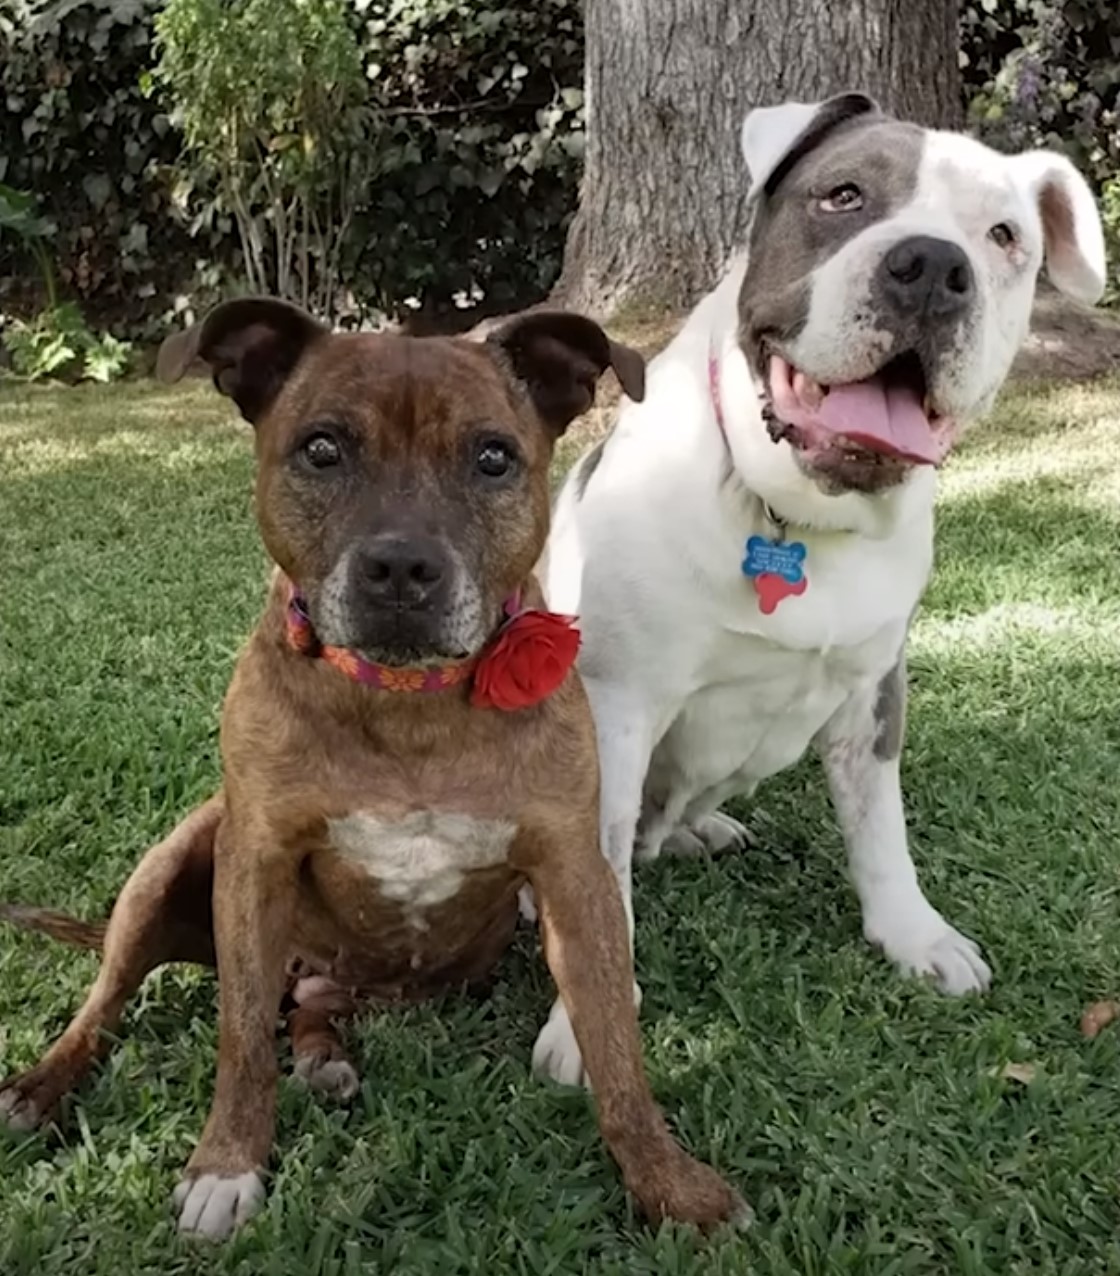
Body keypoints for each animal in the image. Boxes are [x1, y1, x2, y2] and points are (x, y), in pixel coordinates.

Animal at [4, 296, 755, 1235]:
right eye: (322, 448)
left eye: (492, 456)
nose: (401, 565)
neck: (409, 706)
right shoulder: (253, 863)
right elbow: (239, 1037)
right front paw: (226, 1163)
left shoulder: (574, 876)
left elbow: (615, 1044)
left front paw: (668, 1182)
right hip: (170, 864)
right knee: (112, 1000)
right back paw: (42, 1085)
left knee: (308, 1007)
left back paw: (323, 1054)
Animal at [533, 92, 1107, 1087]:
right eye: (842, 195)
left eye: (1003, 236)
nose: (933, 267)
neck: (793, 513)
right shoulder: (617, 705)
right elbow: (599, 877)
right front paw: (587, 1023)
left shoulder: (876, 689)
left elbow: (882, 831)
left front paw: (914, 935)